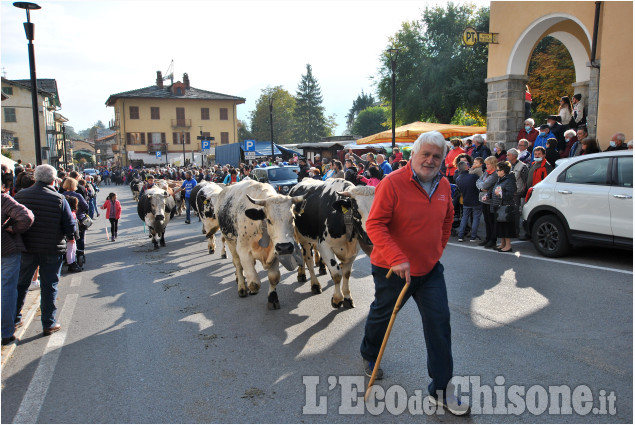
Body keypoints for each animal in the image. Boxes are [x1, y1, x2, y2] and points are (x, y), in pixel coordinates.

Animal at [216, 177, 306, 310]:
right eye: (268, 220)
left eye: (293, 218)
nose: (284, 247)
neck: (259, 225)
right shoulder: (243, 250)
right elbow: (254, 283)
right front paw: (250, 287)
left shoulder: (275, 251)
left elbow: (274, 277)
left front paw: (272, 298)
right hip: (230, 241)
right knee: (237, 264)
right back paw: (242, 287)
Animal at [290, 179, 376, 308]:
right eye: (356, 211)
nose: (371, 239)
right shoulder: (323, 246)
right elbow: (336, 273)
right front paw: (337, 299)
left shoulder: (354, 250)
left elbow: (346, 273)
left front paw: (347, 297)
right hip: (302, 237)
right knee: (308, 259)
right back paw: (314, 284)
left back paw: (303, 273)